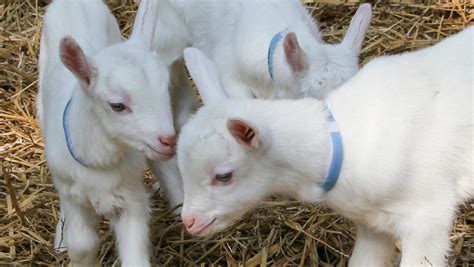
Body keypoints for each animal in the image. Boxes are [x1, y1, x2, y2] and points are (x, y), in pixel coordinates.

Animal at [37, 0, 174, 266]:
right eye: (117, 105)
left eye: (166, 88)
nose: (169, 140)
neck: (100, 162)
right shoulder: (73, 195)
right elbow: (82, 245)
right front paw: (67, 242)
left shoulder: (130, 198)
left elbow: (135, 257)